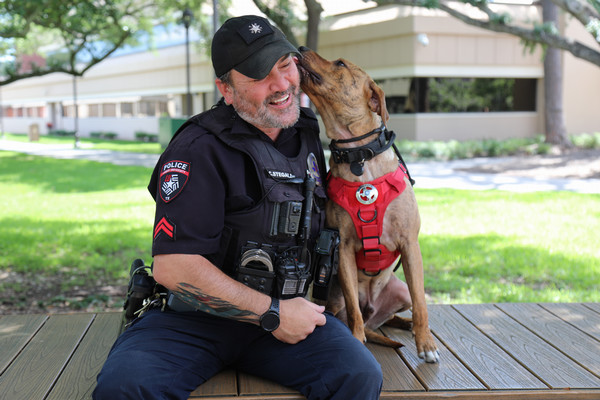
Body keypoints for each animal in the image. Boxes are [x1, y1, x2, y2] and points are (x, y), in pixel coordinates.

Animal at [298, 47, 438, 362]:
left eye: (340, 63)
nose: (300, 49)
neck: (358, 156)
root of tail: (375, 311)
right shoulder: (344, 249)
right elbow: (353, 309)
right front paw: (356, 339)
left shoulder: (410, 244)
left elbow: (422, 303)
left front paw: (426, 343)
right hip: (333, 294)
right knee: (356, 314)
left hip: (400, 290)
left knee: (401, 311)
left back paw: (408, 325)